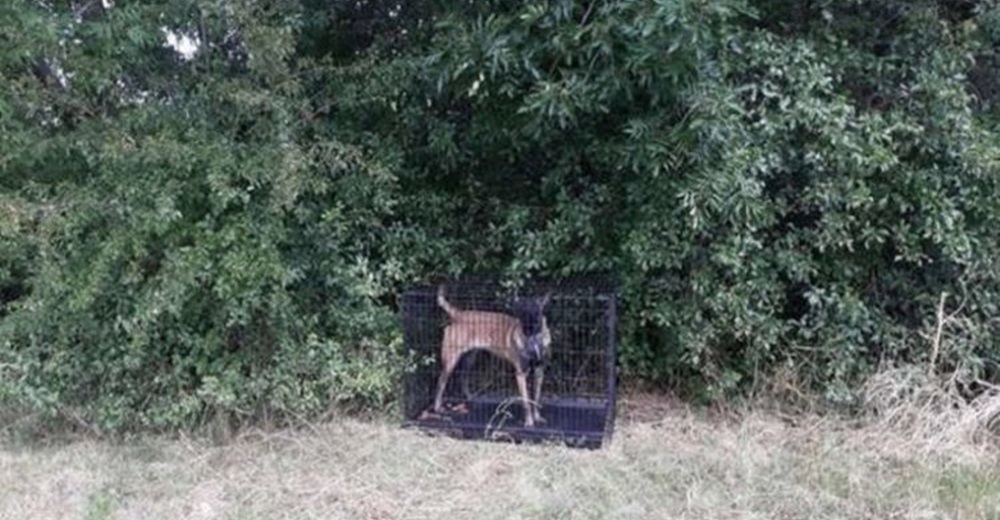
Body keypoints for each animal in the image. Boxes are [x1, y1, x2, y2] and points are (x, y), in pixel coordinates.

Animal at [434, 284, 552, 426]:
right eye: (520, 311)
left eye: (535, 310)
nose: (525, 329)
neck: (533, 339)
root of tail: (459, 314)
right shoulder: (521, 373)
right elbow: (526, 402)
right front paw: (529, 421)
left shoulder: (539, 371)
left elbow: (536, 399)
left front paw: (537, 417)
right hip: (450, 361)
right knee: (441, 382)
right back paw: (437, 407)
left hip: (470, 359)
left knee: (463, 377)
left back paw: (470, 398)